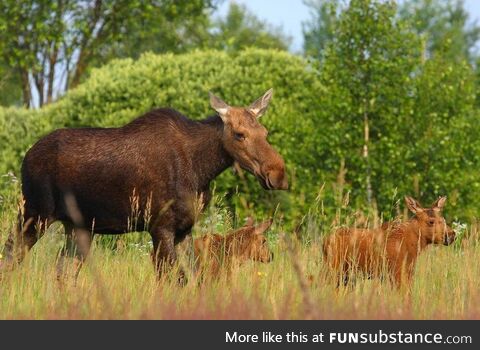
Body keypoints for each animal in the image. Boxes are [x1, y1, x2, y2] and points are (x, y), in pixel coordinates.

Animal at [0, 89, 286, 280]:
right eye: (239, 134)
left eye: (265, 132)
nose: (277, 173)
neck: (201, 170)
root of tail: (26, 157)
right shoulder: (160, 226)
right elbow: (174, 279)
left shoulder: (184, 229)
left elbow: (192, 277)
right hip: (34, 213)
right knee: (11, 255)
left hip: (77, 226)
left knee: (63, 272)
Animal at [322, 196, 454, 288]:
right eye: (431, 221)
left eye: (443, 219)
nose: (452, 235)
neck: (412, 246)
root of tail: (324, 241)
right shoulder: (395, 272)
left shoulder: (408, 272)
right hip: (333, 268)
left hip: (346, 275)